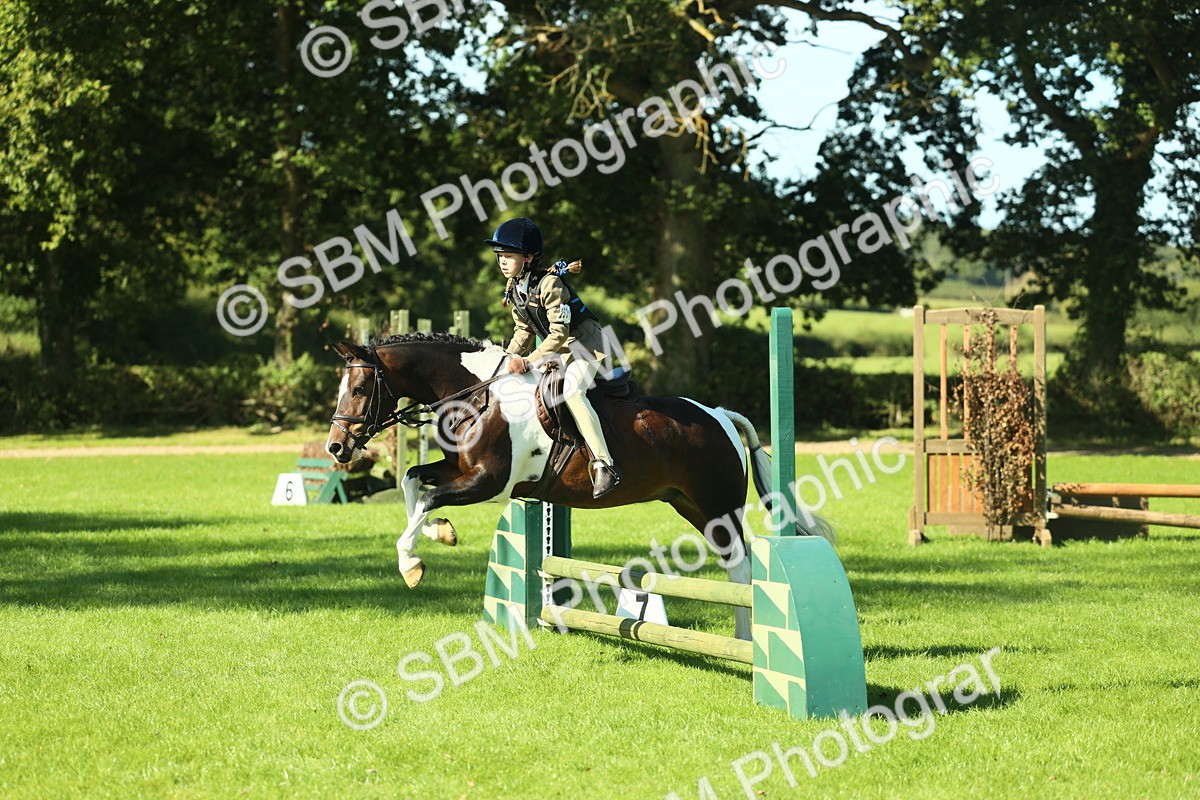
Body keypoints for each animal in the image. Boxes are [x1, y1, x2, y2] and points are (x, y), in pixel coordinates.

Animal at [325, 331, 829, 640]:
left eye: (358, 390)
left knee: (741, 568)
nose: (336, 447)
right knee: (734, 567)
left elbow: (426, 498)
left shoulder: (490, 483)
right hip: (689, 504)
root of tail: (719, 414)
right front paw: (441, 533)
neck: (478, 397)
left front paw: (411, 564)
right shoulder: (459, 472)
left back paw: (747, 642)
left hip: (717, 504)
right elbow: (414, 485)